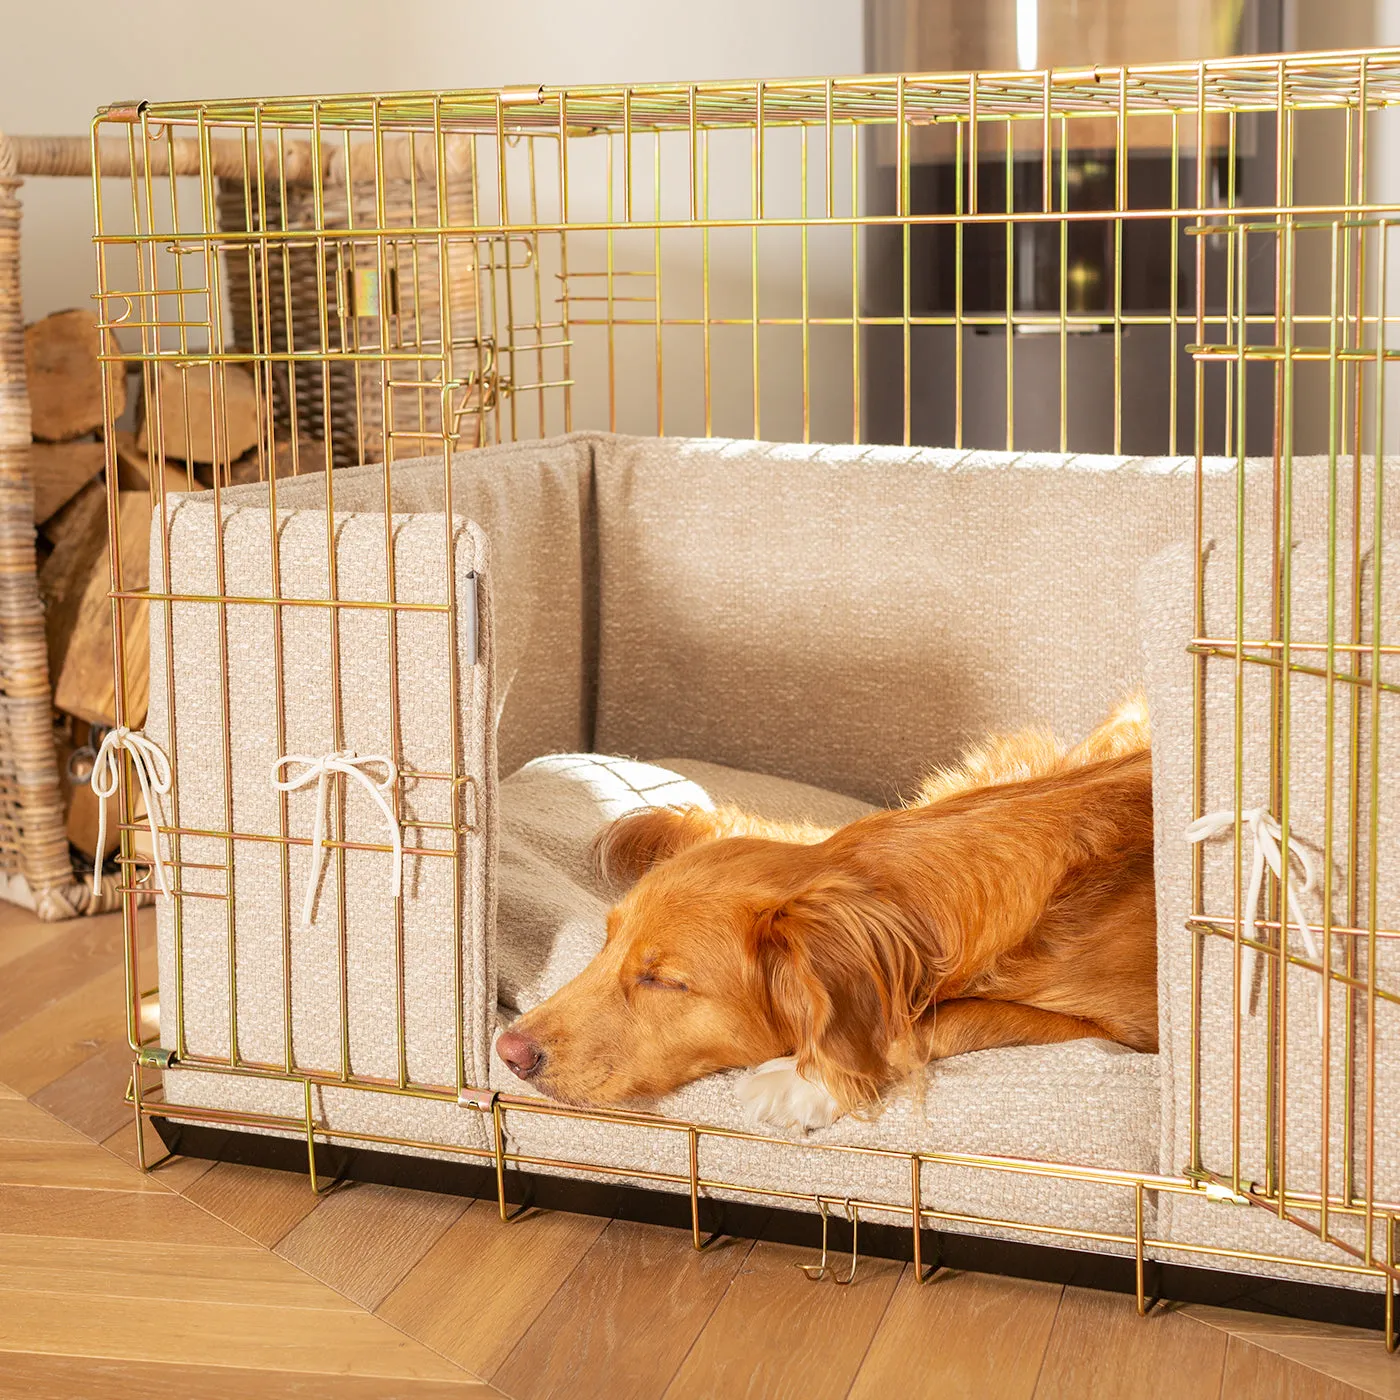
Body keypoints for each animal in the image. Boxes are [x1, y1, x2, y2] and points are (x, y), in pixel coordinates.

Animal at [498, 694, 1153, 1131]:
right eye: (606, 943)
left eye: (664, 981)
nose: (509, 1051)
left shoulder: (1137, 1030)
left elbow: (949, 1019)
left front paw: (803, 1081)